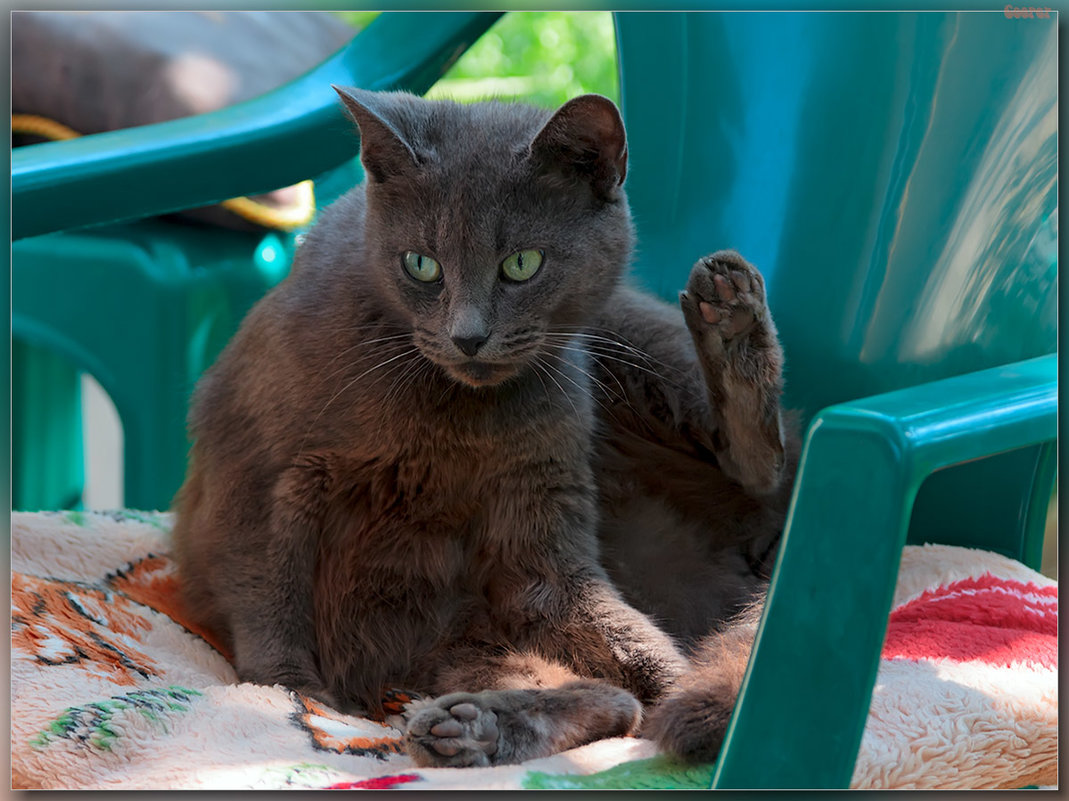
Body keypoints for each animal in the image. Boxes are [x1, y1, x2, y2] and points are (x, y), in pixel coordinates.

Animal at [171, 87, 799, 769]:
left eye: (522, 263)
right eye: (420, 265)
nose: (467, 336)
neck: (449, 419)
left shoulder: (542, 511)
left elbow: (625, 640)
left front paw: (685, 691)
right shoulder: (254, 468)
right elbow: (268, 593)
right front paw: (295, 693)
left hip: (626, 333)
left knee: (763, 465)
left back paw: (731, 315)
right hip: (450, 630)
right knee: (598, 695)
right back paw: (468, 728)